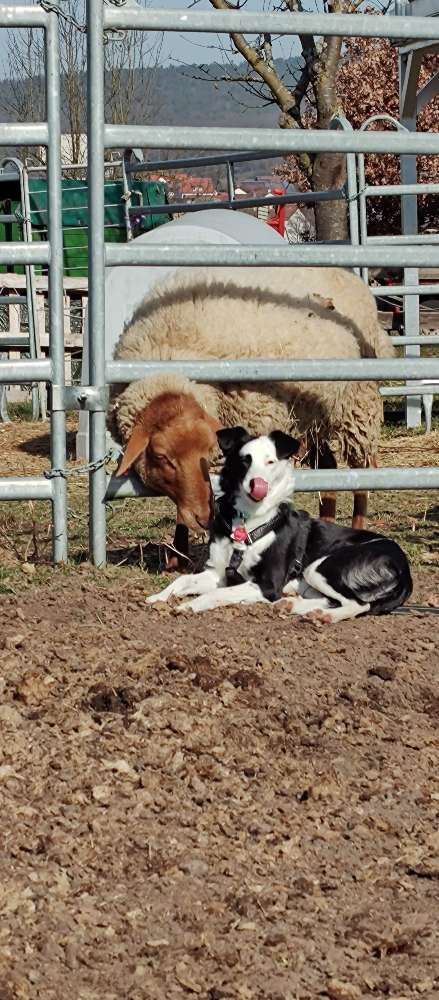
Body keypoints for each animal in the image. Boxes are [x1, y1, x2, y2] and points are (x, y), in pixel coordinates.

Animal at [109, 265, 394, 567]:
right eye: (161, 456)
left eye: (206, 451)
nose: (203, 517)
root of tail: (352, 278)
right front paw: (178, 556)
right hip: (311, 418)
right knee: (329, 469)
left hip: (356, 406)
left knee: (362, 475)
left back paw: (358, 526)